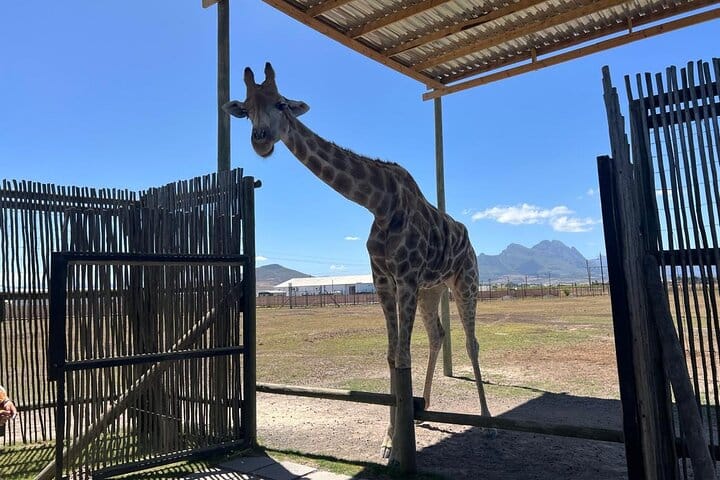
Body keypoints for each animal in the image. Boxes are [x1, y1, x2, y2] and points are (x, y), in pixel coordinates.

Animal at [224, 63, 491, 466]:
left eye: (281, 103)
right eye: (246, 108)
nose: (261, 139)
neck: (378, 202)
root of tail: (468, 238)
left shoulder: (405, 278)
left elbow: (402, 355)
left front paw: (398, 447)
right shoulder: (384, 280)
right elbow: (392, 356)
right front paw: (390, 442)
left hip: (465, 281)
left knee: (472, 342)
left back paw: (487, 419)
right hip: (432, 289)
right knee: (438, 335)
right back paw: (425, 408)